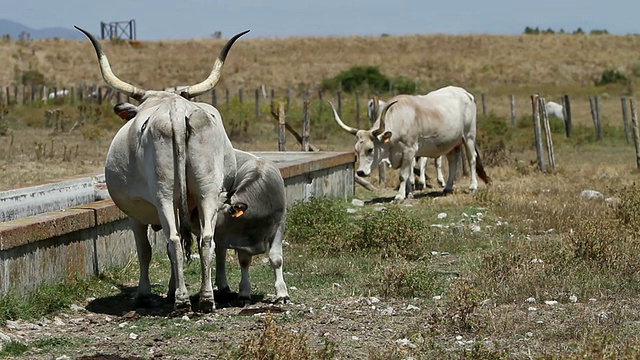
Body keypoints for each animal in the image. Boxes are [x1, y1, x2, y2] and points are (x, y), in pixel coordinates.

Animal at [77, 25, 250, 312]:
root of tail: (177, 112)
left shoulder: (134, 214)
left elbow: (145, 251)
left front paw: (146, 294)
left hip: (164, 195)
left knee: (173, 241)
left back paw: (181, 301)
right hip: (208, 192)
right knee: (206, 239)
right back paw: (206, 298)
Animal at [332, 85, 492, 202]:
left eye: (370, 149)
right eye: (356, 150)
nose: (360, 172)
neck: (401, 118)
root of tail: (465, 93)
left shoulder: (409, 150)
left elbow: (403, 175)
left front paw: (400, 196)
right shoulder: (409, 154)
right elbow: (409, 174)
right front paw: (409, 193)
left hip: (469, 136)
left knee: (471, 160)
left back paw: (473, 187)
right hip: (452, 143)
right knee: (453, 162)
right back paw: (447, 187)